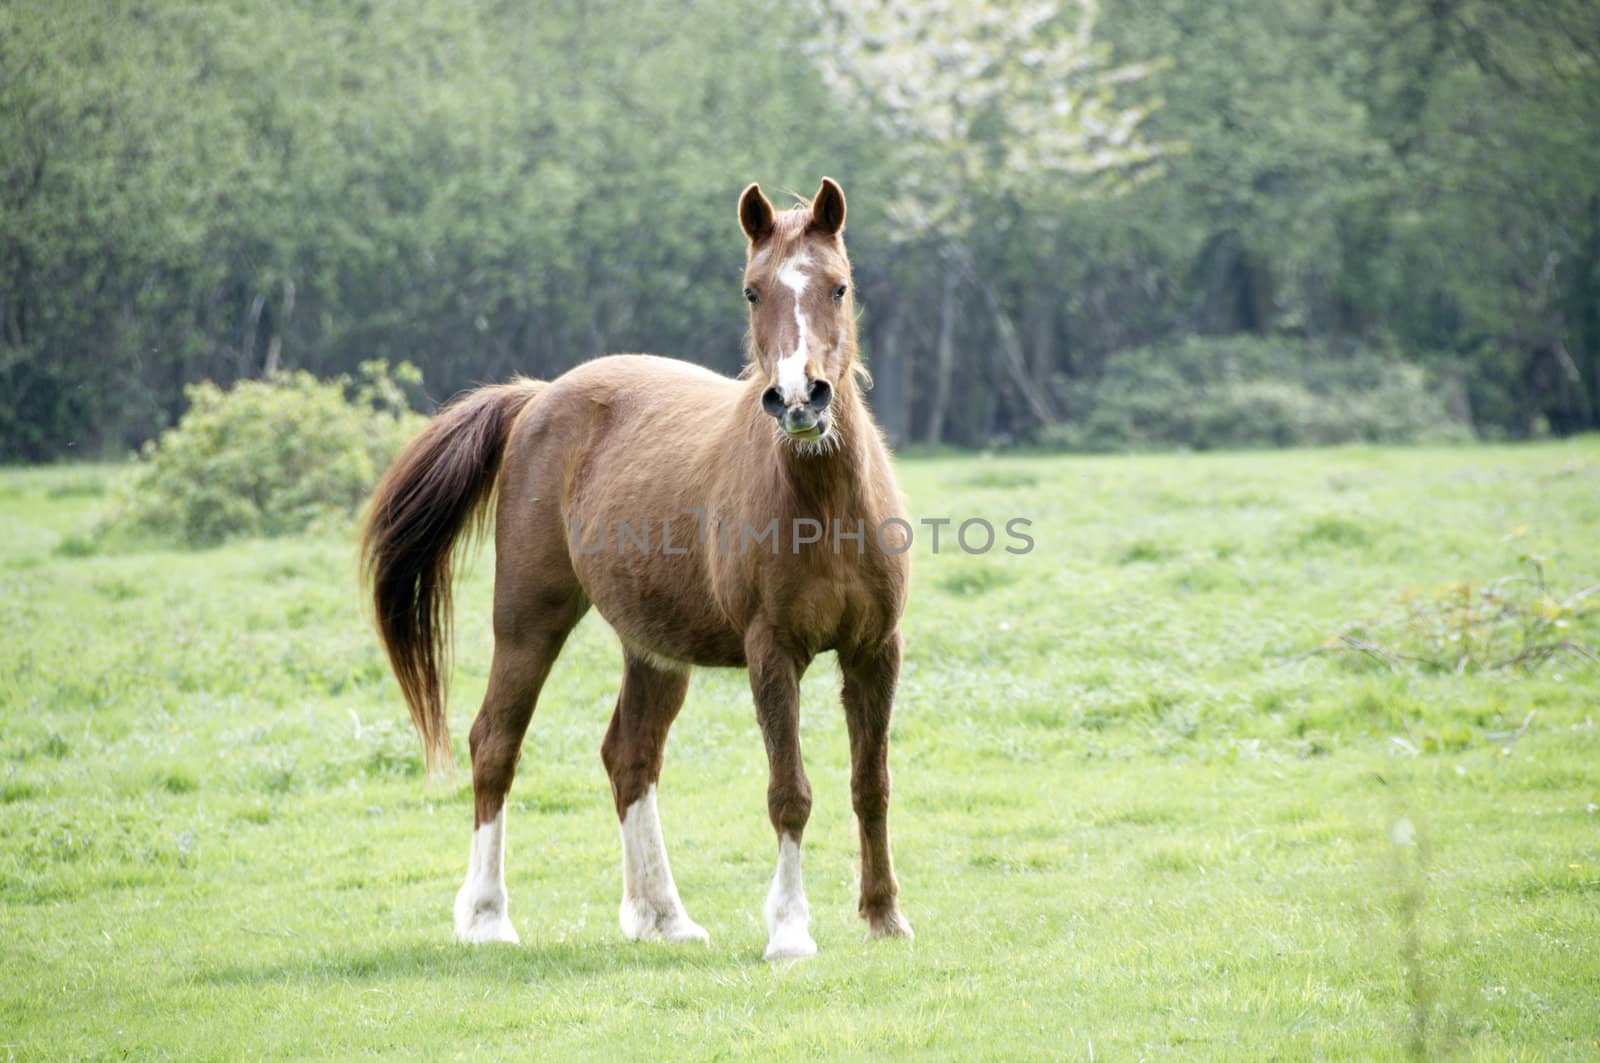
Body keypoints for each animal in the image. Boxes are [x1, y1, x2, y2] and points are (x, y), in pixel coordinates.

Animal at [363, 178, 915, 960]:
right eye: (752, 291)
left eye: (839, 286)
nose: (798, 399)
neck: (824, 505)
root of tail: (537, 396)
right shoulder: (772, 652)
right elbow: (790, 791)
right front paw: (789, 930)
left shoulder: (876, 650)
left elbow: (872, 783)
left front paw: (883, 915)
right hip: (528, 621)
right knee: (495, 742)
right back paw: (488, 916)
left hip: (655, 651)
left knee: (630, 756)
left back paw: (662, 915)